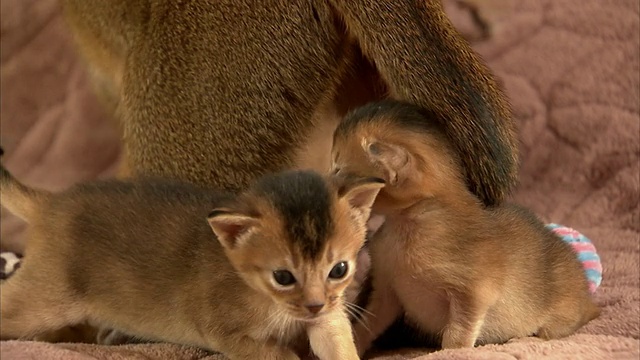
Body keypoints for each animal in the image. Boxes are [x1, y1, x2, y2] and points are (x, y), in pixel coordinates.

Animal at [0, 152, 380, 360]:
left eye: (339, 269)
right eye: (283, 277)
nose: (315, 305)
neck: (264, 298)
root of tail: (53, 202)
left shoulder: (327, 318)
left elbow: (337, 343)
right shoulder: (222, 331)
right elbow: (273, 352)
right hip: (43, 299)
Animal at [330, 100, 600, 354]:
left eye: (337, 168)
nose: (322, 183)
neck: (407, 226)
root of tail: (589, 302)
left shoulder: (474, 293)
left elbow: (457, 333)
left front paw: (451, 352)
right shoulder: (387, 292)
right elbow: (367, 325)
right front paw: (353, 345)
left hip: (558, 317)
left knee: (550, 332)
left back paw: (522, 339)